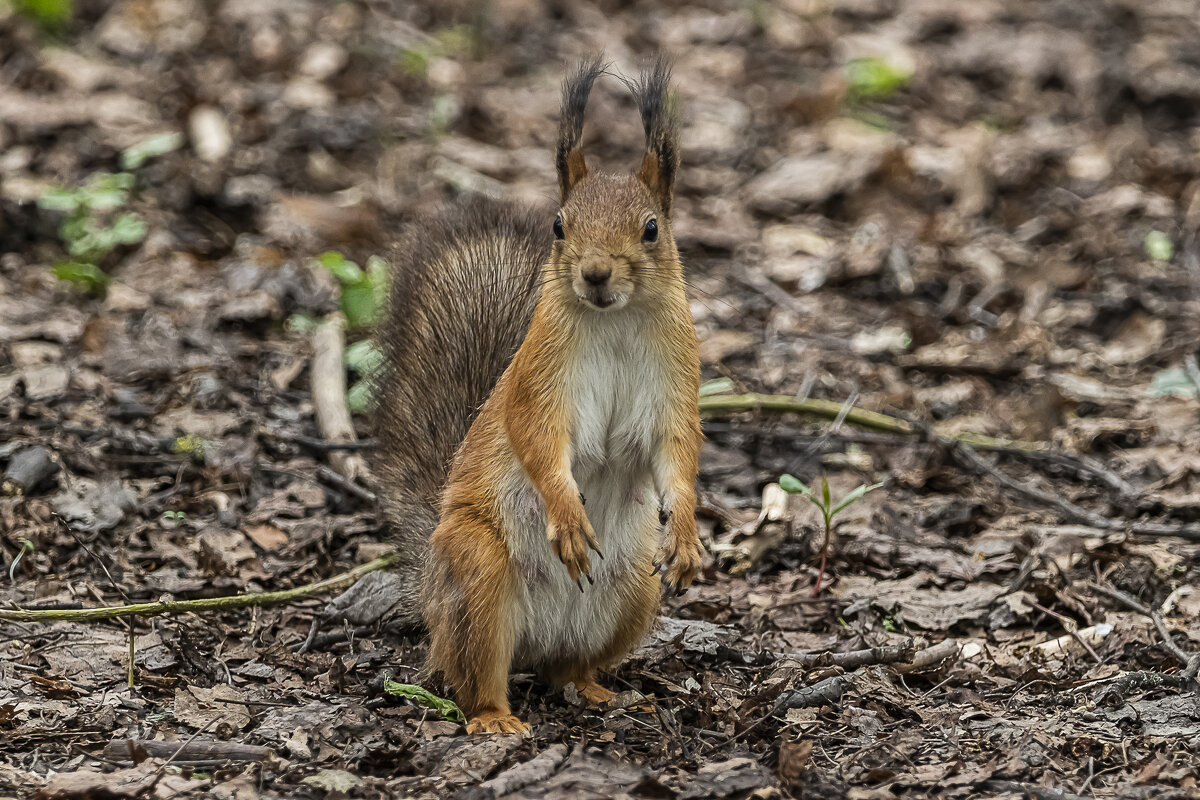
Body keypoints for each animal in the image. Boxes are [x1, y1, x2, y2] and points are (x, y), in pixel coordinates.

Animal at [367, 57, 700, 738]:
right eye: (558, 226)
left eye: (652, 229)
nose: (595, 273)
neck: (613, 323)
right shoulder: (537, 382)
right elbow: (539, 442)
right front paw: (567, 517)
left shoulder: (676, 384)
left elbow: (677, 455)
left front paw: (685, 534)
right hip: (476, 572)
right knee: (474, 678)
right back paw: (494, 718)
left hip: (635, 590)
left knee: (565, 669)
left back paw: (598, 691)